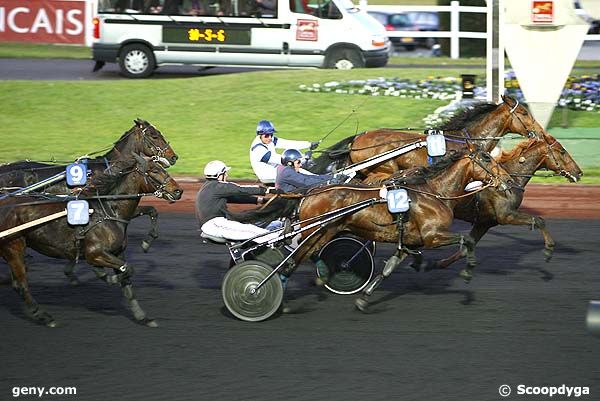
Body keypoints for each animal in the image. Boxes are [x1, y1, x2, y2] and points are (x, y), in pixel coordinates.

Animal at [0, 153, 183, 324]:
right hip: (13, 247)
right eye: (154, 170)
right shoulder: (95, 253)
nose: (178, 191)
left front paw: (142, 317)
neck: (107, 210)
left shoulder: (117, 253)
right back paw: (43, 316)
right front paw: (105, 276)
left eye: (162, 168)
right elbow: (127, 270)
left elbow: (128, 284)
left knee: (17, 282)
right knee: (21, 285)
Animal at [290, 145, 510, 310]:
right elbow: (468, 240)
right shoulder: (433, 236)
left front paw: (364, 299)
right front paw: (467, 271)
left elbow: (389, 268)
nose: (508, 180)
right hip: (318, 232)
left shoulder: (410, 241)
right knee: (296, 258)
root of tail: (308, 194)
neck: (434, 193)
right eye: (487, 158)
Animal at [434, 132, 584, 268]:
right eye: (562, 151)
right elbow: (538, 220)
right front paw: (549, 248)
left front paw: (440, 263)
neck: (510, 179)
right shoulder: (506, 216)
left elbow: (465, 248)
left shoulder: (485, 222)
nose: (579, 172)